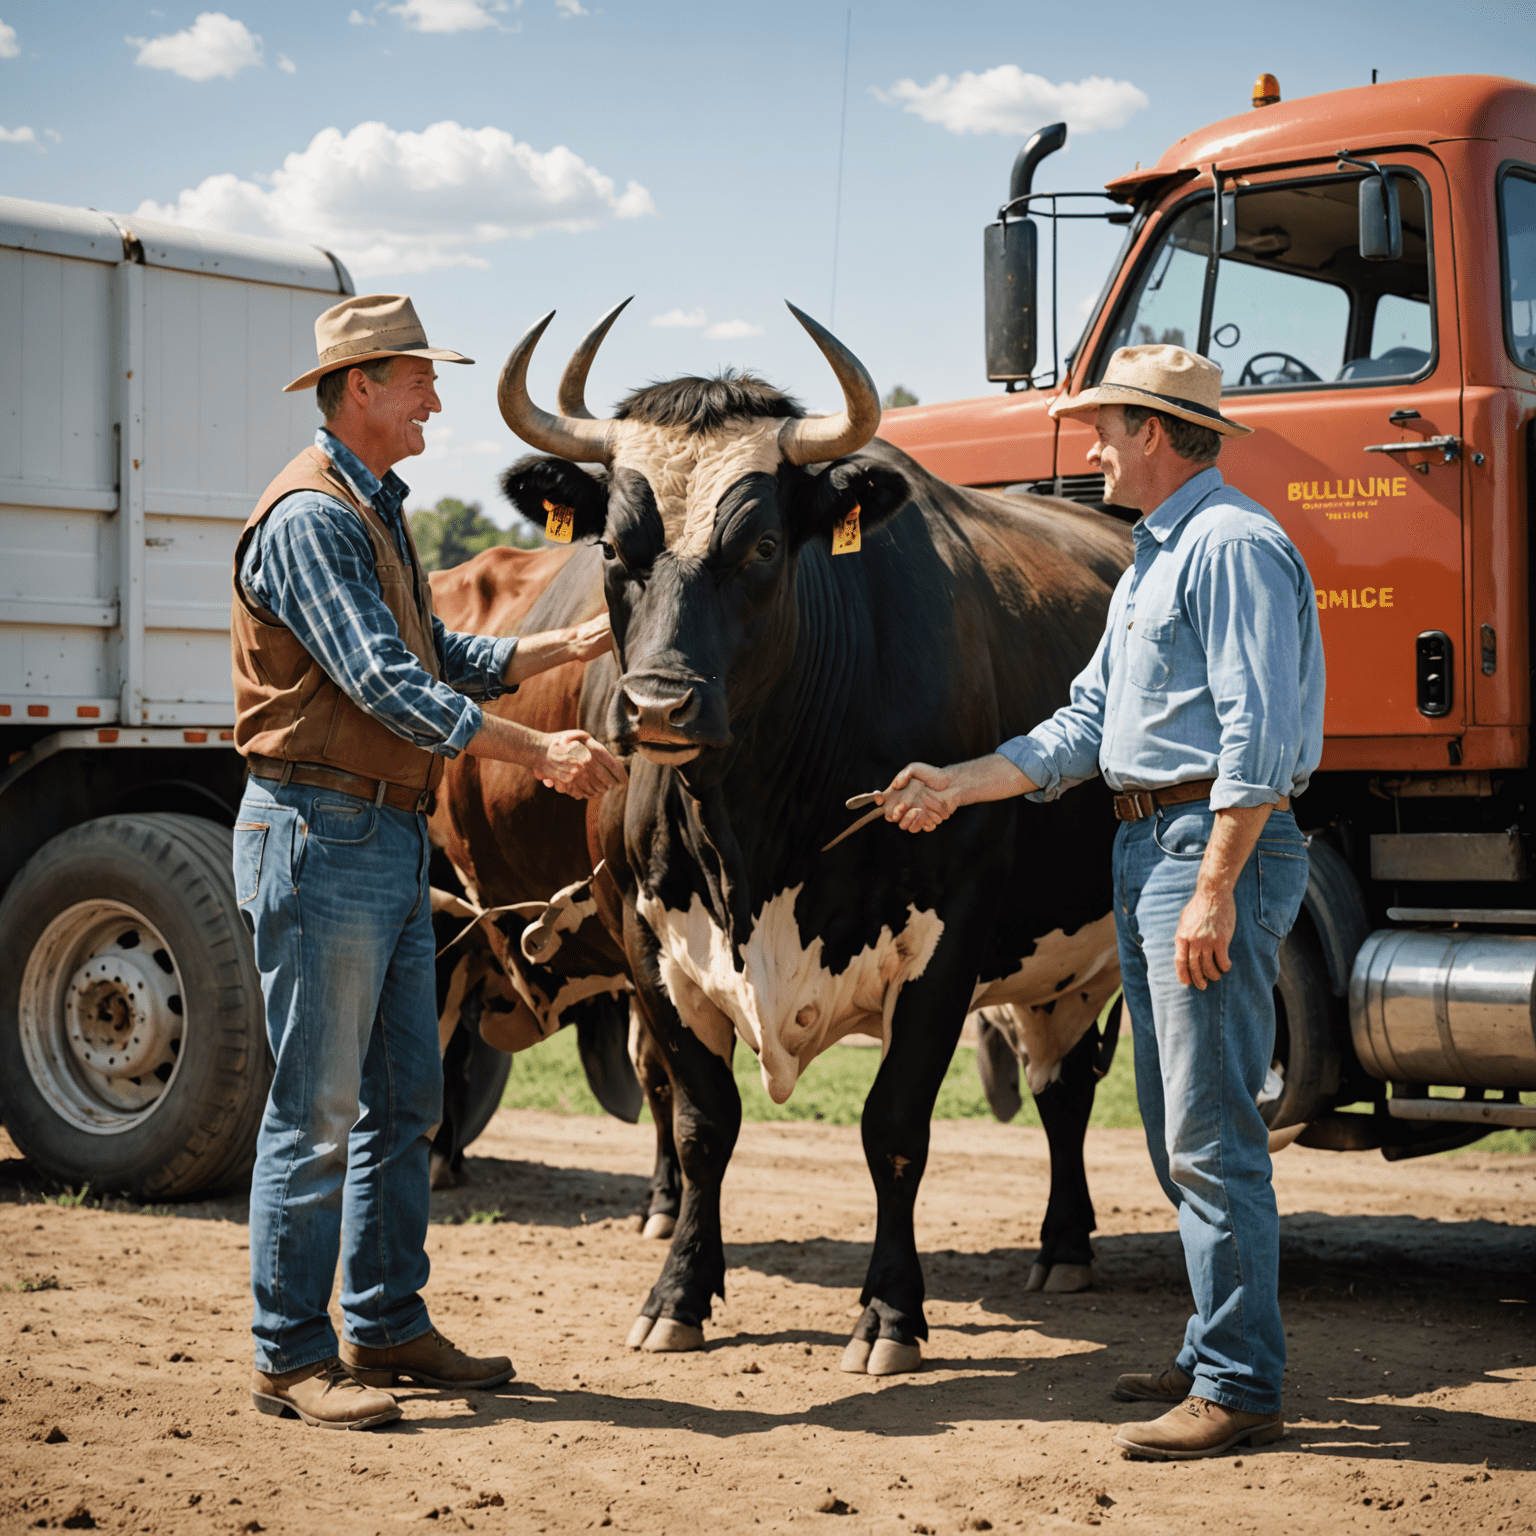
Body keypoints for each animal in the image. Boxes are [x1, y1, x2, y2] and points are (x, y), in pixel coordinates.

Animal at [430, 430, 1130, 1370]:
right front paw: (678, 1294)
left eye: (763, 546)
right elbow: (700, 1121)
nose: (656, 705)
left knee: (1068, 1090)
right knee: (1062, 1089)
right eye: (610, 548)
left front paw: (890, 1313)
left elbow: (894, 1129)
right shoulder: (646, 938)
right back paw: (1062, 1246)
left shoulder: (951, 940)